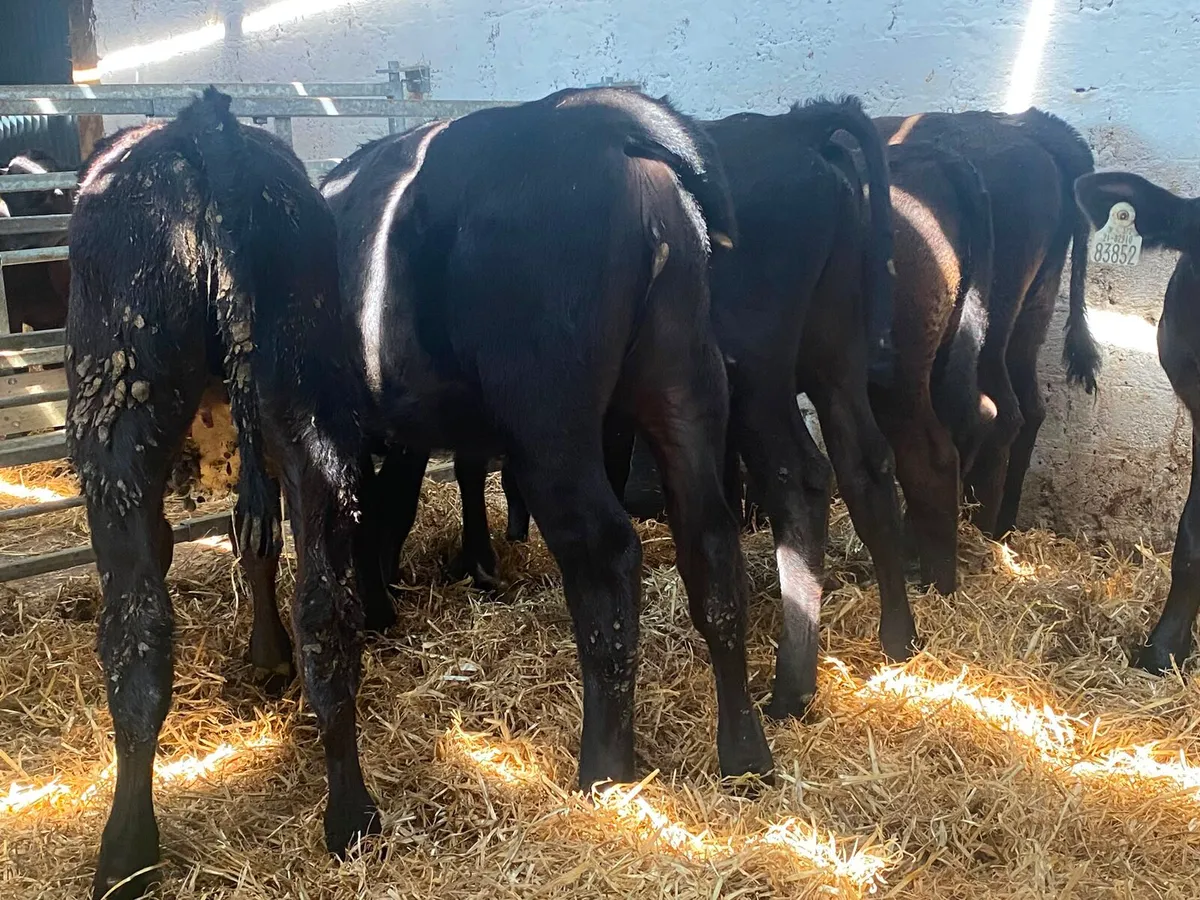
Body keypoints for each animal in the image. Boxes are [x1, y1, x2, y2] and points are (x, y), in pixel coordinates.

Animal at [66, 89, 379, 899]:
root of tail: (204, 129)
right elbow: (256, 543)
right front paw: (268, 658)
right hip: (305, 407)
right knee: (322, 609)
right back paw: (348, 815)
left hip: (126, 427)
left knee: (141, 629)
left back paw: (128, 849)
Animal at [316, 87, 774, 794]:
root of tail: (602, 121)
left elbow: (373, 513)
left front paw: (379, 607)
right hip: (683, 375)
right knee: (711, 542)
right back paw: (746, 755)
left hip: (550, 416)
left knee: (606, 552)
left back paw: (604, 770)